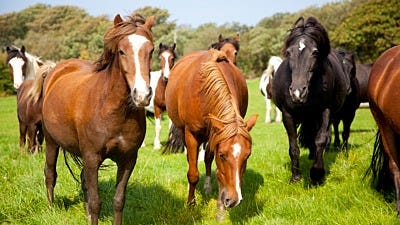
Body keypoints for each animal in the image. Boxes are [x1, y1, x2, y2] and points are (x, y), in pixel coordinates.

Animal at [29, 14, 155, 225]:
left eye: (151, 50)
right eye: (121, 51)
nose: (142, 95)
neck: (112, 110)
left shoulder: (128, 160)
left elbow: (118, 201)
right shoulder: (91, 157)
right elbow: (96, 203)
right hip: (51, 141)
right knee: (50, 173)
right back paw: (51, 207)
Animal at [164, 48, 258, 220]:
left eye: (247, 155)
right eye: (222, 155)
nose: (234, 200)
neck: (202, 90)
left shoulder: (216, 135)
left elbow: (217, 170)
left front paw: (220, 209)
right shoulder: (191, 134)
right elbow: (193, 173)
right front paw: (191, 205)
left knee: (207, 158)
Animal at [272, 16, 350, 184]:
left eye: (315, 52)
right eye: (288, 52)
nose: (297, 92)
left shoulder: (325, 111)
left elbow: (320, 139)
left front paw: (317, 174)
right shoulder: (287, 115)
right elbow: (293, 147)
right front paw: (295, 177)